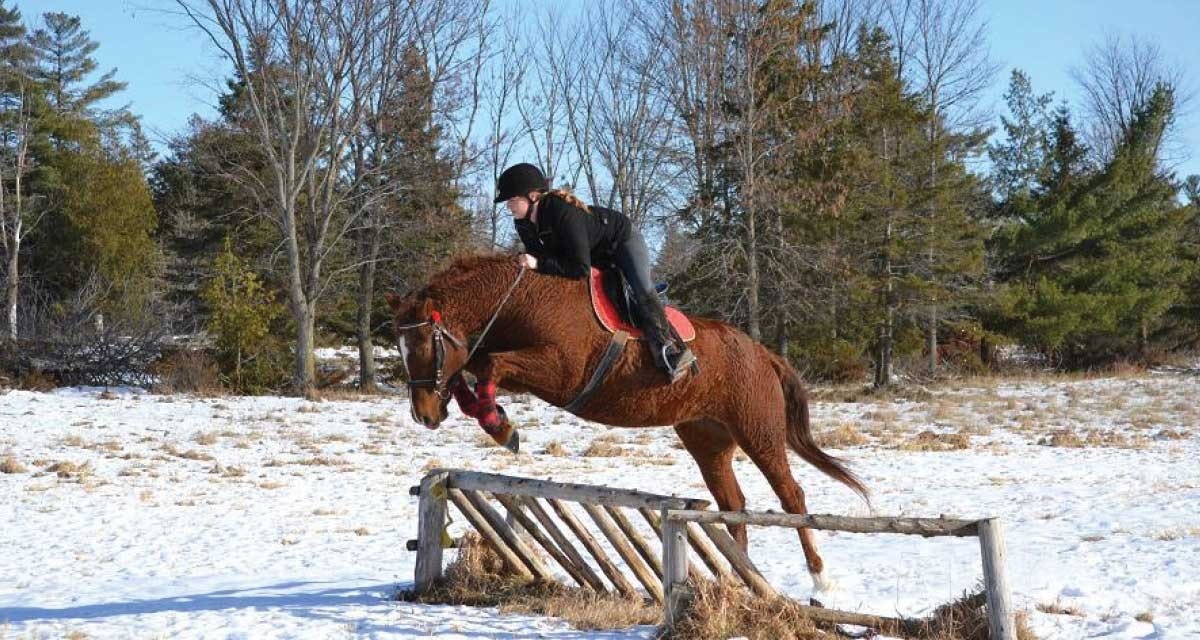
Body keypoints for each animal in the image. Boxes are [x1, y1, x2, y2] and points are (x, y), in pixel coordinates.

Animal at [385, 254, 868, 589]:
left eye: (425, 345)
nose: (425, 415)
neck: (522, 299)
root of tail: (763, 353)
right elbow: (477, 362)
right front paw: (489, 416)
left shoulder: (562, 374)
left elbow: (487, 364)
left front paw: (500, 426)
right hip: (707, 440)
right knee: (732, 504)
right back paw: (739, 578)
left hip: (758, 431)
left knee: (791, 495)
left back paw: (819, 581)